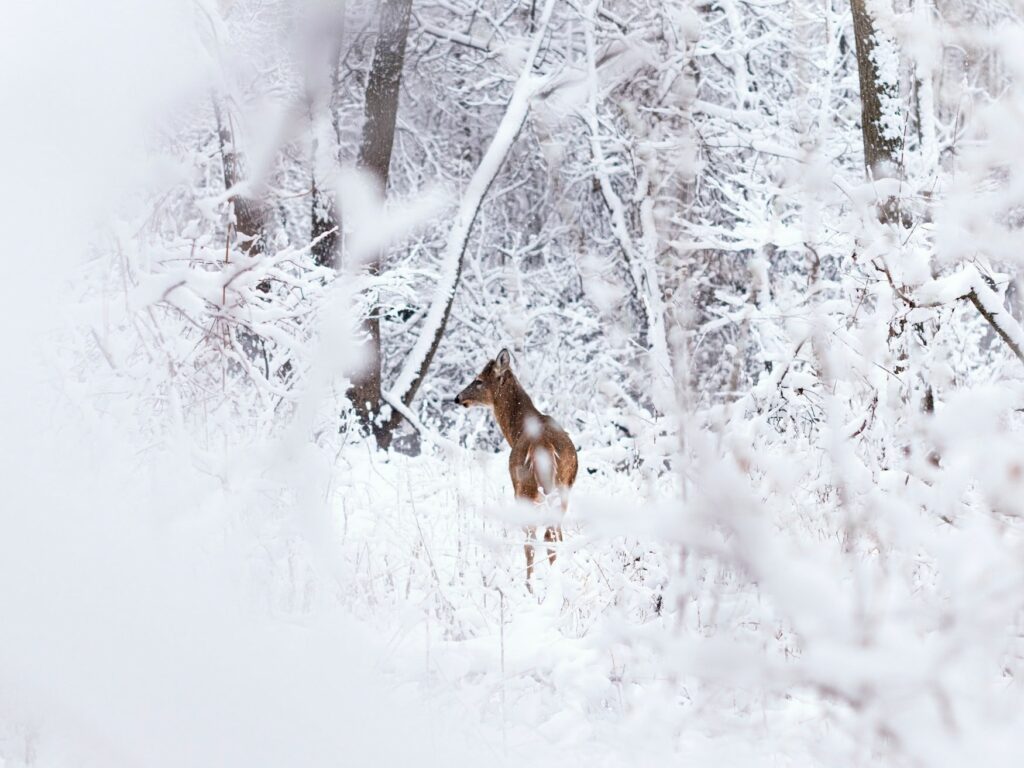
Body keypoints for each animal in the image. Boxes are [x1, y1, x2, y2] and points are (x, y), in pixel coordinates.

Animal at [454, 352, 577, 593]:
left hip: (525, 488)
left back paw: (530, 586)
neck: (517, 430)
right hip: (562, 488)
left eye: (478, 380)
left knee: (534, 539)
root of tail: (543, 446)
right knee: (554, 535)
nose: (458, 397)